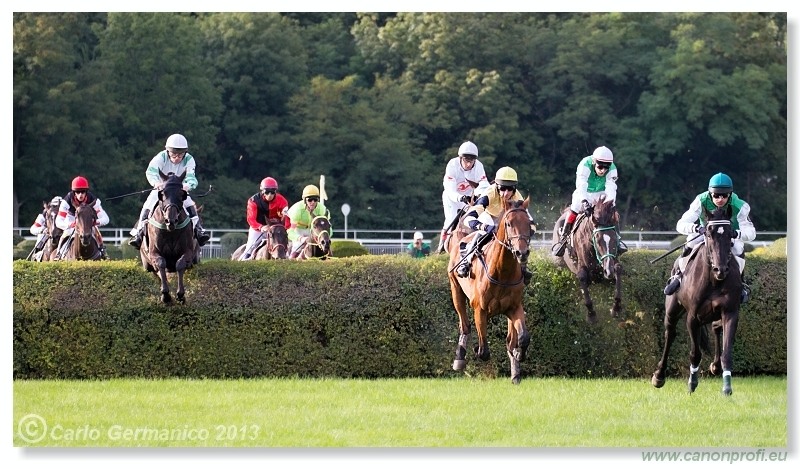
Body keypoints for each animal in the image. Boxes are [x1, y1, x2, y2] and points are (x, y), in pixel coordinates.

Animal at [140, 169, 199, 304]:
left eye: (181, 194)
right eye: (162, 193)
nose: (170, 220)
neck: (170, 231)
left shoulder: (188, 251)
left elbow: (180, 264)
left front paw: (180, 294)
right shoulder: (153, 252)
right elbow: (161, 263)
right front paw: (165, 295)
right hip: (146, 264)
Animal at [450, 197, 532, 384]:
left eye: (529, 224)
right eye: (508, 223)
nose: (522, 253)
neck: (502, 272)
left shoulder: (514, 308)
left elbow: (523, 337)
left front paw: (519, 355)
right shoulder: (479, 309)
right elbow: (484, 351)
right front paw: (476, 350)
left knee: (511, 339)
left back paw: (515, 372)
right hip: (455, 290)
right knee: (465, 326)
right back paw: (459, 358)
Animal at [652, 205, 740, 394]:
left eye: (730, 234)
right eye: (708, 233)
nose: (721, 269)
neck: (714, 281)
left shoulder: (730, 312)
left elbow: (727, 353)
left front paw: (727, 388)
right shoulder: (693, 316)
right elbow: (695, 353)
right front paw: (692, 383)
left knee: (715, 328)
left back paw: (715, 365)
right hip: (673, 310)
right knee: (670, 333)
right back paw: (659, 375)